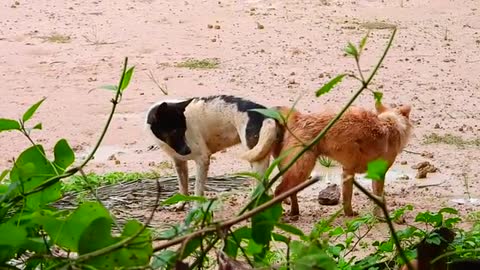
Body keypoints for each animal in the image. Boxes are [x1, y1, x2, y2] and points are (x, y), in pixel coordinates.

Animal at [144, 95, 280, 202]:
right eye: (174, 132)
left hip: (256, 160)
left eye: (183, 129)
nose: (187, 151)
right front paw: (181, 204)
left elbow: (197, 190)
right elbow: (183, 187)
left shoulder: (202, 159)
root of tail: (266, 115)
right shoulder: (179, 163)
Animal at [274, 102, 412, 216]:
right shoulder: (378, 174)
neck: (390, 123)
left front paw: (349, 214)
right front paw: (379, 216)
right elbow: (378, 197)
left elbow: (347, 196)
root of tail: (299, 118)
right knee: (278, 191)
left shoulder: (348, 171)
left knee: (290, 192)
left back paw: (294, 212)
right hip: (301, 169)